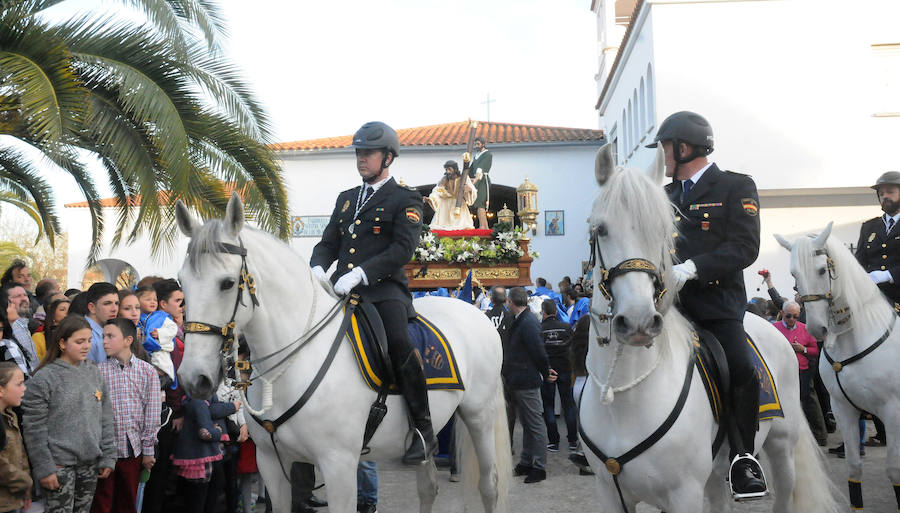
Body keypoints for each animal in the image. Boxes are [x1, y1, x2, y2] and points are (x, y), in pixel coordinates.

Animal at [175, 193, 510, 512]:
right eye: (182, 282)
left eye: (227, 283)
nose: (193, 378)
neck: (292, 365)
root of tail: (472, 310)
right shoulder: (271, 462)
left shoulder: (339, 465)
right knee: (428, 488)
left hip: (479, 415)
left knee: (489, 486)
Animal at [580, 143, 840, 512]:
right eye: (600, 229)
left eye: (662, 232)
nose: (639, 321)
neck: (625, 394)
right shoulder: (611, 493)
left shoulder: (683, 493)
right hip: (716, 475)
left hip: (781, 446)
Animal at [772, 222, 900, 510]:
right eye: (794, 273)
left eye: (822, 269)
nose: (816, 329)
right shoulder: (843, 408)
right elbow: (853, 467)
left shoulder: (892, 411)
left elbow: (894, 470)